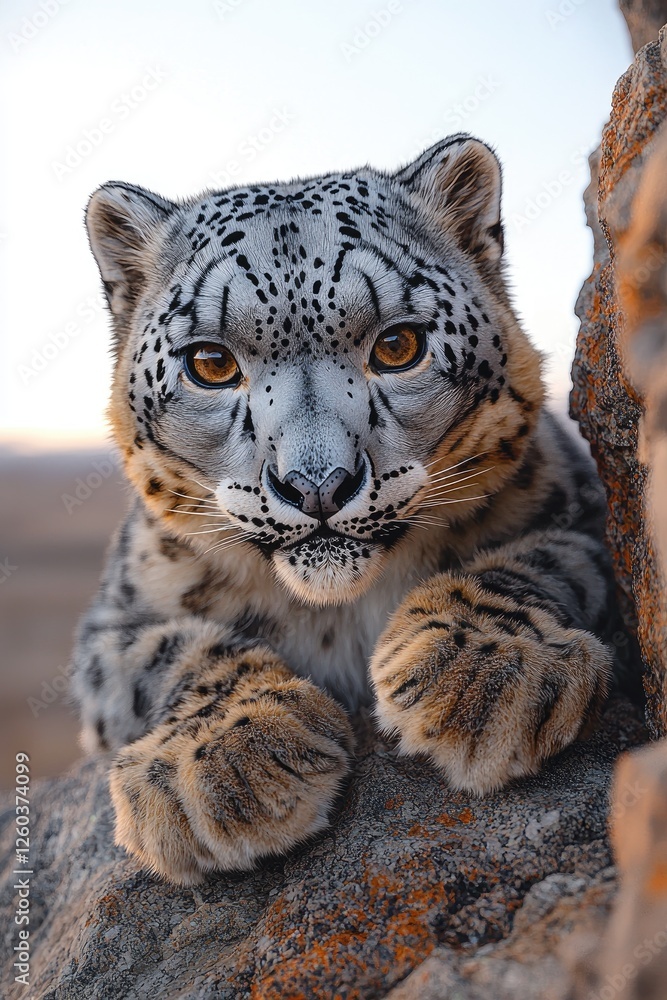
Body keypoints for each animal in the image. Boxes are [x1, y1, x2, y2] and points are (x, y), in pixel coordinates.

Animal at [71, 134, 615, 885]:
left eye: (397, 345)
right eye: (210, 363)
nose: (317, 485)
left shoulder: (582, 516)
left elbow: (536, 561)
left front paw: (485, 674)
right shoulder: (113, 619)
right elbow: (166, 653)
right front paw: (227, 763)